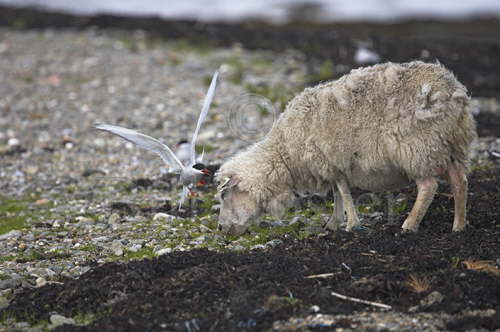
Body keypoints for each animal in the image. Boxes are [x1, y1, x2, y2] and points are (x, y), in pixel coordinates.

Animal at [216, 61, 476, 235]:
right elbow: (337, 192)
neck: (285, 153)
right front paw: (334, 223)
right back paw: (458, 226)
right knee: (459, 181)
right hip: (448, 144)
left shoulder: (331, 161)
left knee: (429, 186)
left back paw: (409, 225)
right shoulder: (331, 165)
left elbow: (343, 192)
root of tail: (454, 91)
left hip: (417, 147)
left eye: (225, 195)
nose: (219, 228)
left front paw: (350, 224)